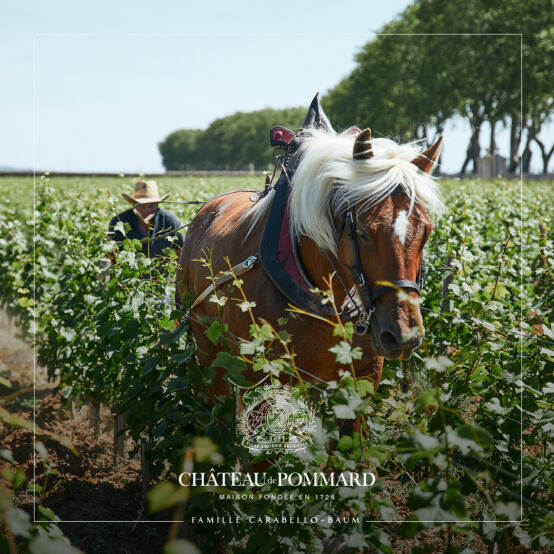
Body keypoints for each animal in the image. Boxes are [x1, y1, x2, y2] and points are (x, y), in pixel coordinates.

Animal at [177, 96, 440, 396]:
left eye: (426, 232)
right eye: (363, 232)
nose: (403, 336)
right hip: (210, 351)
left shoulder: (361, 381)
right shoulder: (261, 379)